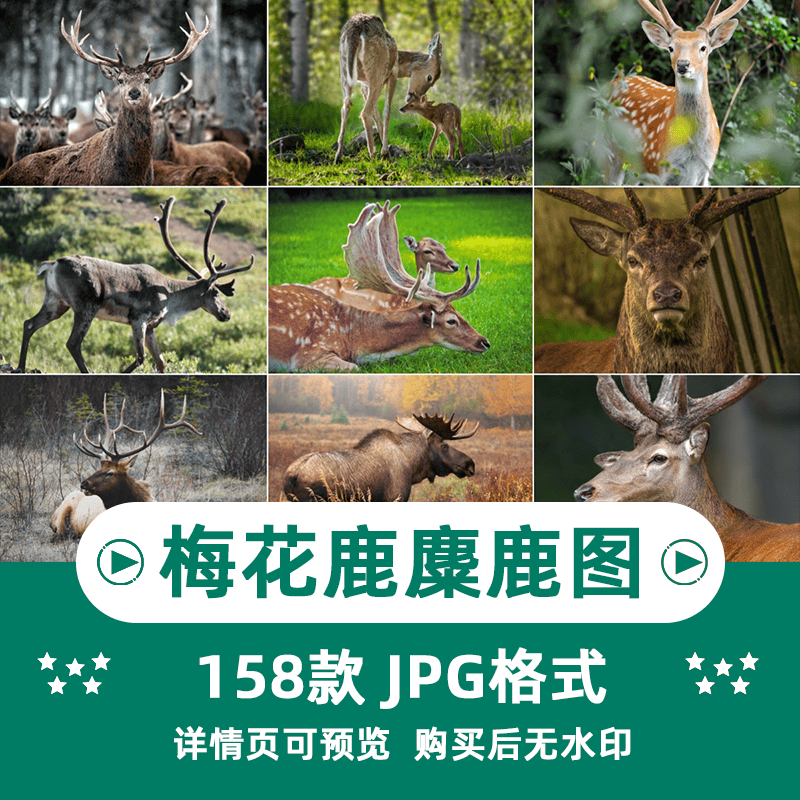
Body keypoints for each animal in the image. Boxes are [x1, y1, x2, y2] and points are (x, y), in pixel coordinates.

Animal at [16, 196, 254, 374]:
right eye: (215, 293)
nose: (227, 314)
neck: (170, 300)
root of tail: (53, 264)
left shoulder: (151, 327)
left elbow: (161, 362)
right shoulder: (138, 319)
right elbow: (140, 358)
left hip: (56, 302)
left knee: (29, 324)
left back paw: (20, 367)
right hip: (85, 307)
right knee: (73, 344)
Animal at [334, 13, 441, 164]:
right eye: (430, 78)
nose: (414, 96)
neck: (399, 62)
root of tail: (356, 28)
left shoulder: (364, 85)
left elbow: (376, 114)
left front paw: (387, 150)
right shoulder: (392, 75)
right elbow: (386, 112)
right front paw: (385, 152)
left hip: (345, 69)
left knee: (346, 107)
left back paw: (338, 156)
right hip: (377, 70)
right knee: (365, 112)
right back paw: (372, 154)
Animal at [606, 0, 753, 186]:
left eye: (703, 47)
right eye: (670, 48)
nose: (683, 65)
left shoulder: (705, 172)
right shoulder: (657, 167)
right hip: (607, 149)